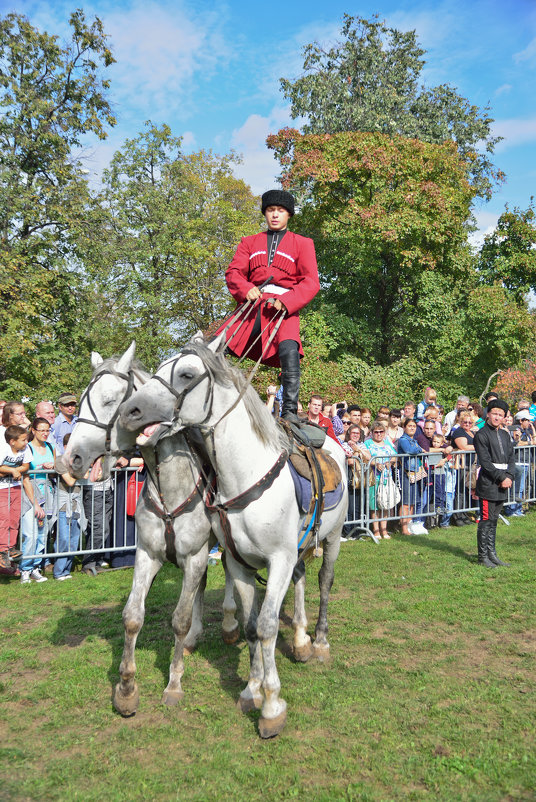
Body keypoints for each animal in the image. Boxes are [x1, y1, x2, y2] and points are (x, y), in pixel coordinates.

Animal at [63, 340, 238, 716]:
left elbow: (179, 618)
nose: (71, 459)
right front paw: (127, 689)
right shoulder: (148, 555)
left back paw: (230, 624)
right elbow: (132, 616)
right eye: (81, 400)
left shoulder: (194, 555)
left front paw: (173, 684)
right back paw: (195, 638)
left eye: (111, 401)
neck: (167, 481)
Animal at [118, 332, 348, 736]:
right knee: (302, 580)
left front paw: (271, 705)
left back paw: (319, 642)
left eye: (186, 374)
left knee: (324, 582)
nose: (131, 410)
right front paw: (252, 689)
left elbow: (268, 626)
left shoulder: (278, 559)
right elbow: (253, 626)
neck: (244, 474)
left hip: (331, 540)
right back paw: (301, 639)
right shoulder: (242, 563)